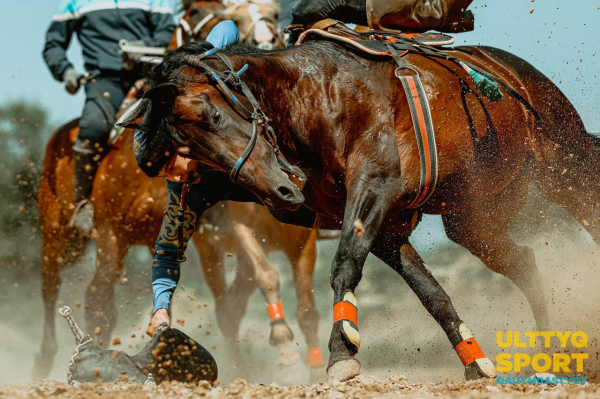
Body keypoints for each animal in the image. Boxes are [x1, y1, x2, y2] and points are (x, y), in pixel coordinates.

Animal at [132, 39, 600, 382]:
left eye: (214, 115)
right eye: (190, 153)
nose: (283, 192)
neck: (314, 95)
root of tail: (514, 71)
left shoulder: (374, 187)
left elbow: (345, 266)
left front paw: (342, 352)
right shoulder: (385, 224)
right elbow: (432, 294)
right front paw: (474, 364)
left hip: (565, 166)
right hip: (474, 218)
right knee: (524, 261)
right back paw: (550, 348)